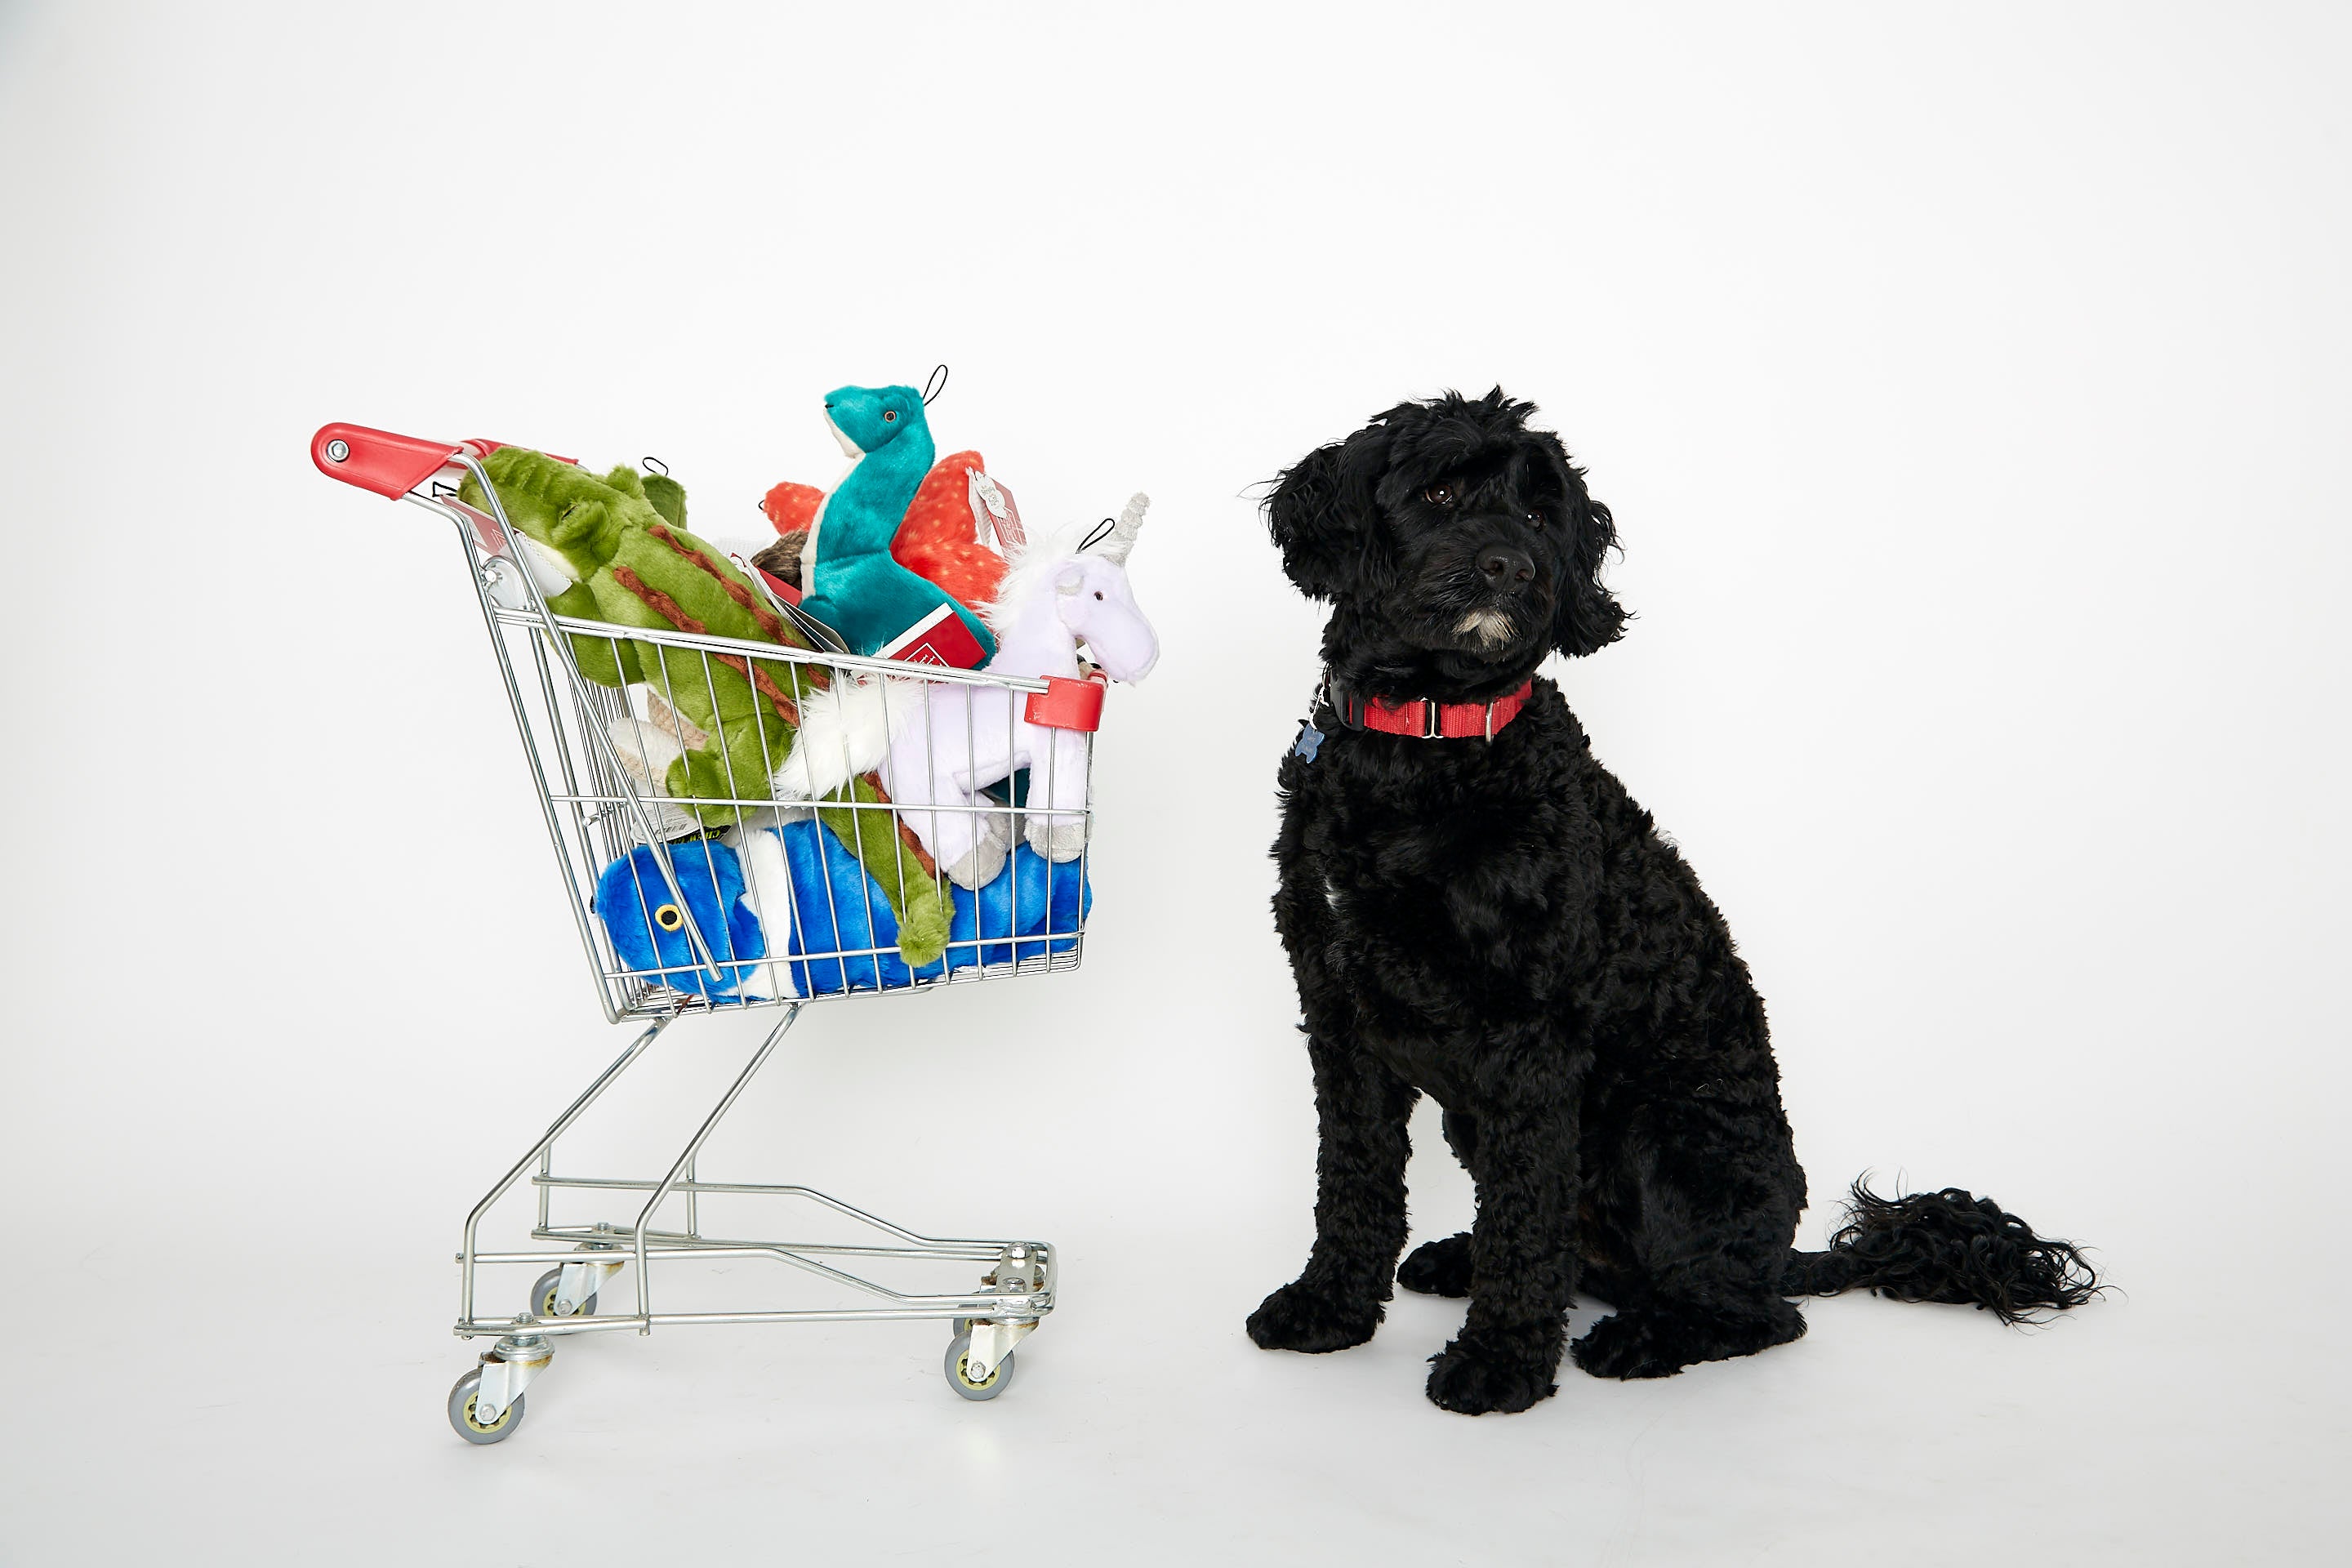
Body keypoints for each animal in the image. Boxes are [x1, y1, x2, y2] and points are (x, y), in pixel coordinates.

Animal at [1251, 385, 2097, 1419]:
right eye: (1441, 490)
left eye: (1541, 514)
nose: (1512, 566)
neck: (1427, 749)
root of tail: (1781, 1250)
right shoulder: (1340, 1014)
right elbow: (1354, 1181)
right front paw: (1328, 1306)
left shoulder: (1532, 1040)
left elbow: (1525, 1214)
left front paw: (1501, 1362)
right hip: (1485, 1121)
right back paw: (1464, 1260)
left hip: (1665, 1137)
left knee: (1748, 1311)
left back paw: (1647, 1336)